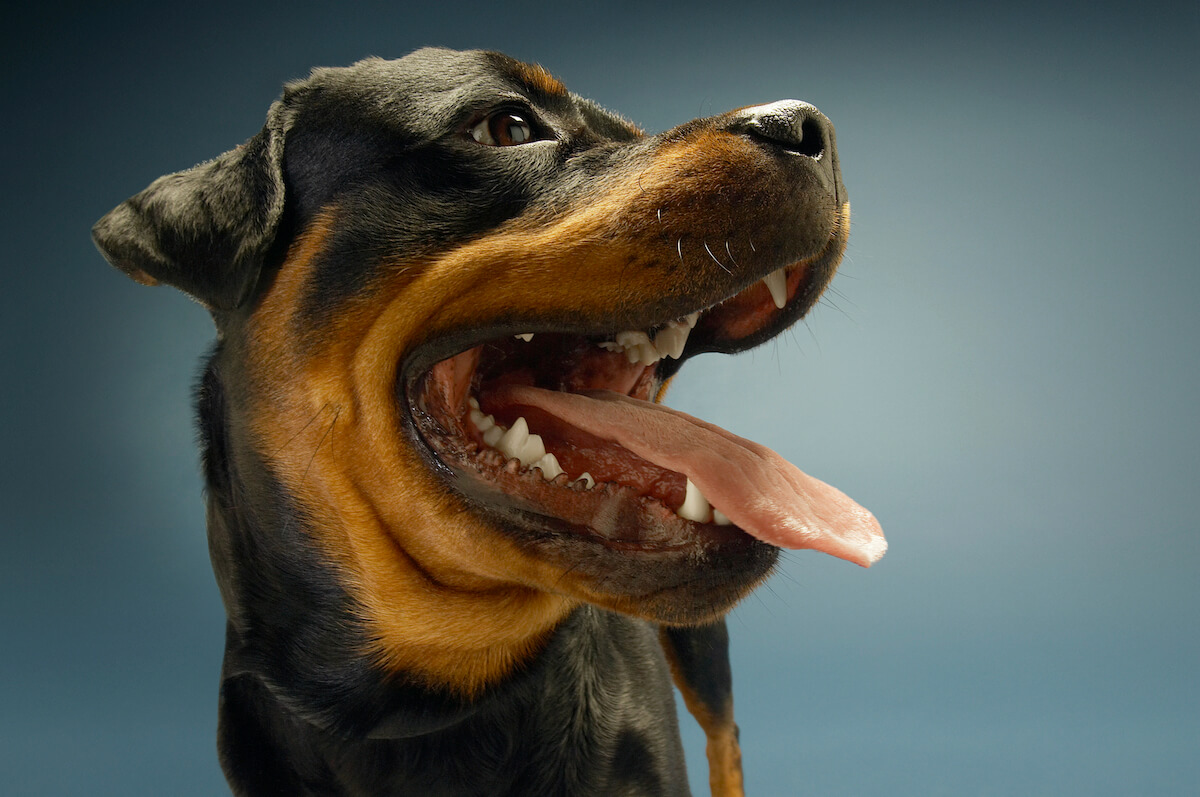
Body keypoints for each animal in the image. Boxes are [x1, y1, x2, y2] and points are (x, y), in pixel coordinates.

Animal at [91, 49, 883, 797]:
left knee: (726, 734)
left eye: (631, 132)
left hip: (702, 648)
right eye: (507, 128)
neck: (439, 694)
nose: (809, 125)